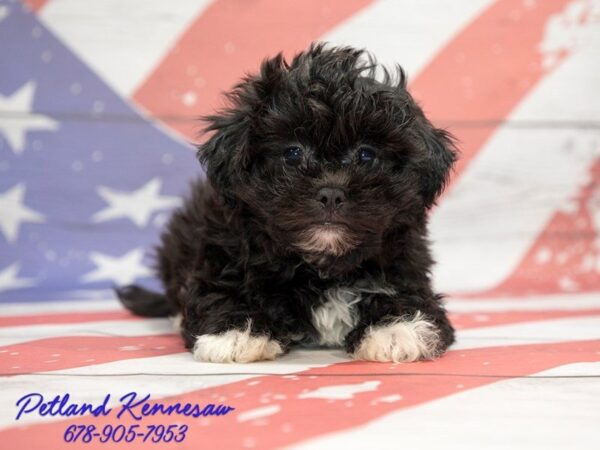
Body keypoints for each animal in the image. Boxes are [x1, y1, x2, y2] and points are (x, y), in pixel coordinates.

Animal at [116, 44, 454, 364]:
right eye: (292, 154)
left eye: (366, 155)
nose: (331, 193)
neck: (322, 266)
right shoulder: (223, 252)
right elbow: (221, 291)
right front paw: (236, 331)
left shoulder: (406, 264)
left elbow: (409, 296)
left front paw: (396, 329)